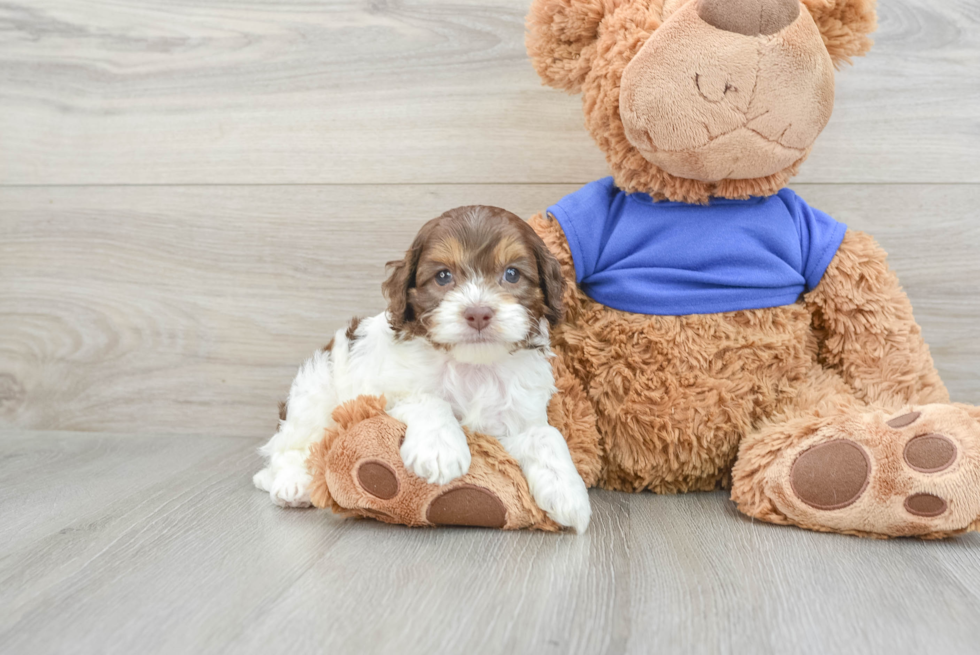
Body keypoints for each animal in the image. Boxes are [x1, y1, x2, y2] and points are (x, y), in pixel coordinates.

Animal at [253, 205, 588, 532]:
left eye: (512, 274)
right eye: (443, 276)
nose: (478, 313)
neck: (473, 365)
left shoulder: (517, 418)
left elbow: (547, 436)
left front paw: (569, 492)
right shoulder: (383, 394)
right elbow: (427, 400)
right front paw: (439, 450)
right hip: (314, 390)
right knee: (290, 446)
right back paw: (293, 483)